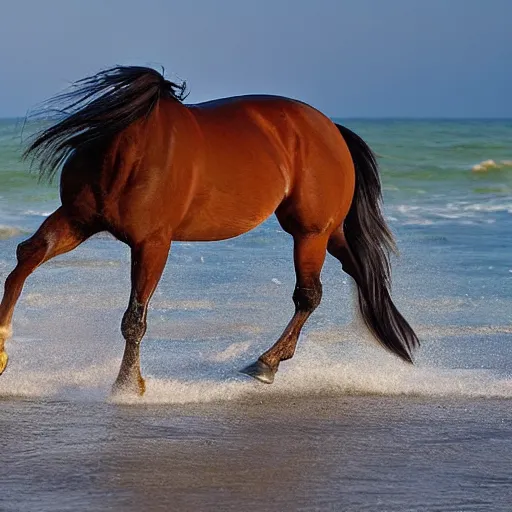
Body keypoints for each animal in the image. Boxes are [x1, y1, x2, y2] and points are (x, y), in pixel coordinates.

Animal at [0, 66, 418, 394]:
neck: (125, 160)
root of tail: (331, 129)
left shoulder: (152, 244)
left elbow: (134, 319)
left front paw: (127, 385)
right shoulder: (78, 219)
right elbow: (27, 257)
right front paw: (2, 351)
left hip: (309, 233)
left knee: (309, 295)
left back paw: (265, 364)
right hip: (327, 232)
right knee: (359, 270)